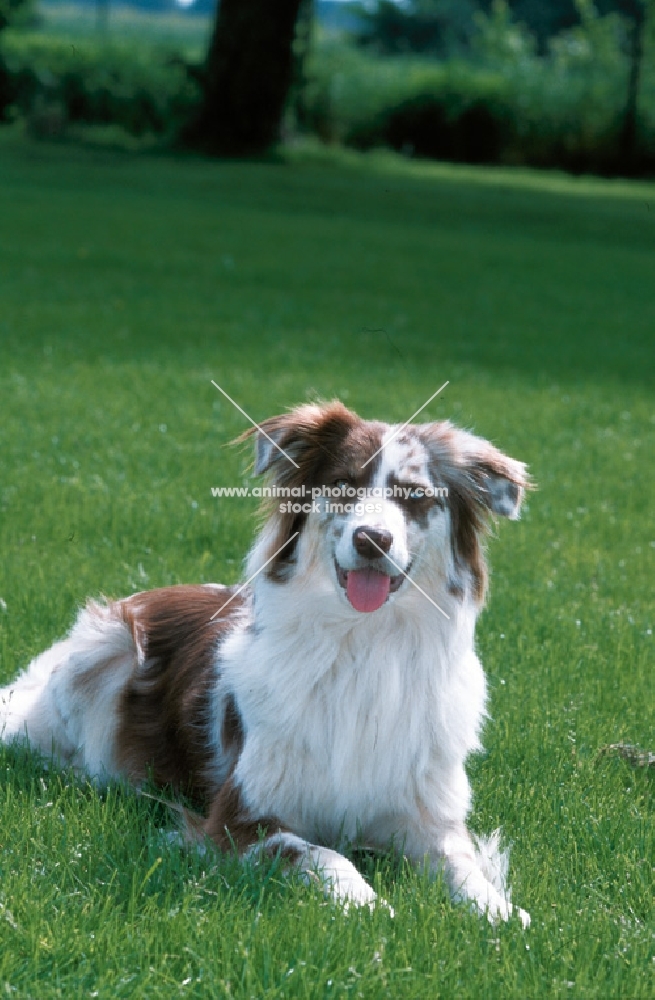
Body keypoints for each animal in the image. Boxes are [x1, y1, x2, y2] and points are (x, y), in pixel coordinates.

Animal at [0, 400, 532, 928]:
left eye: (415, 496)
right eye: (342, 485)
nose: (371, 540)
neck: (362, 642)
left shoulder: (428, 816)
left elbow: (461, 864)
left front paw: (498, 911)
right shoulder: (238, 819)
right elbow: (321, 854)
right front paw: (368, 904)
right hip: (102, 653)